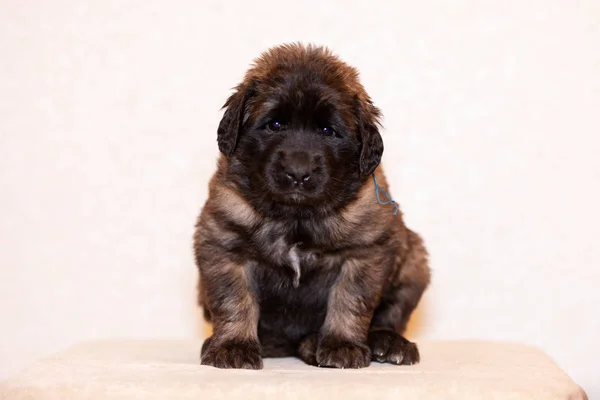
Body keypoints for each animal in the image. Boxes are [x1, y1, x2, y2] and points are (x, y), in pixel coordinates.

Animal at [195, 43, 428, 368]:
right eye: (275, 124)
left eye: (328, 131)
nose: (297, 173)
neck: (296, 218)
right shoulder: (223, 245)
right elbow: (234, 301)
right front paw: (233, 346)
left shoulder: (364, 252)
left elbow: (350, 301)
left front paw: (342, 345)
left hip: (414, 260)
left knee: (391, 314)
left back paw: (387, 343)